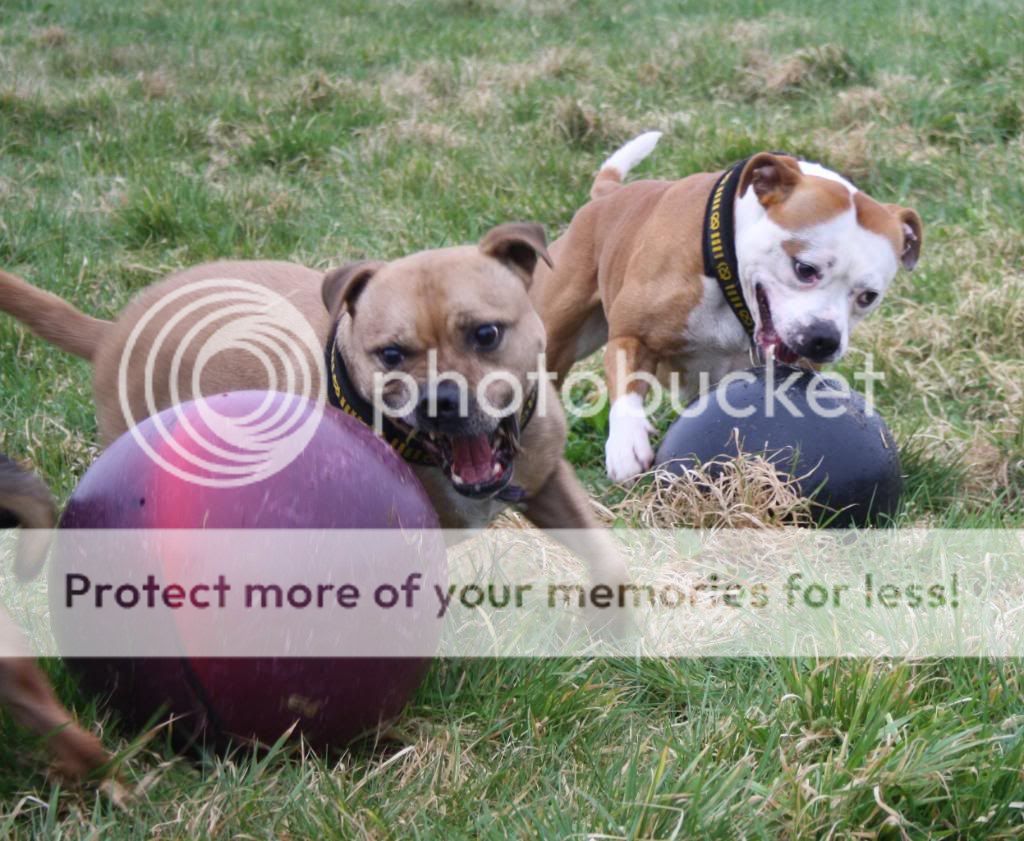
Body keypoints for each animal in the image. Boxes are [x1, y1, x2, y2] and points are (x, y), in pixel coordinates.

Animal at [0, 223, 630, 594]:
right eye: (391, 354)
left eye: (486, 334)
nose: (442, 399)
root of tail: (109, 332)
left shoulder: (548, 482)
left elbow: (603, 551)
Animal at [532, 131, 925, 479]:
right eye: (804, 268)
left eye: (868, 296)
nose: (823, 339)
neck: (728, 282)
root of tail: (608, 195)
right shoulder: (633, 335)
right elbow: (627, 383)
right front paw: (627, 444)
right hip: (556, 334)